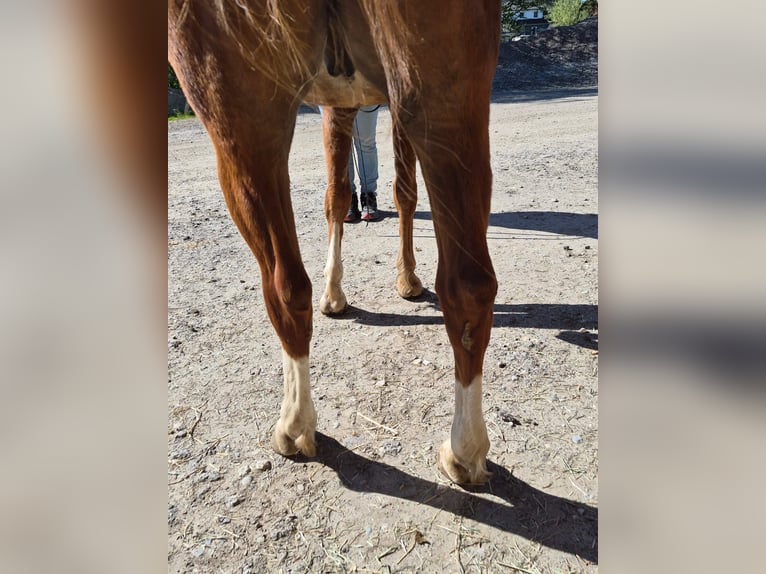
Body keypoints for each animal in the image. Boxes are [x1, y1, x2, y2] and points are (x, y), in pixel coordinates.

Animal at [168, 0, 501, 484]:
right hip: (449, 102)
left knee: (285, 285)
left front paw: (343, 292)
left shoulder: (338, 106)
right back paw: (467, 451)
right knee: (469, 286)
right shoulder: (359, 104)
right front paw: (401, 279)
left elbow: (341, 197)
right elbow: (385, 191)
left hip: (240, 119)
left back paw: (295, 427)